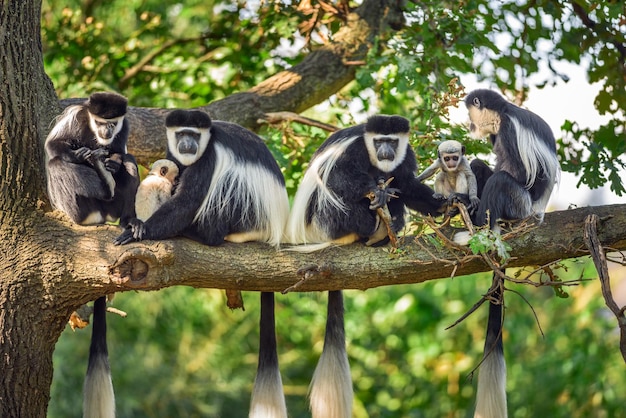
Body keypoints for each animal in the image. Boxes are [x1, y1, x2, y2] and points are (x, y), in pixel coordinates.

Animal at [44, 92, 140, 229]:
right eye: (99, 122)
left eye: (113, 123)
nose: (107, 132)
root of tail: (102, 215)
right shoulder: (76, 116)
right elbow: (52, 143)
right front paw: (77, 155)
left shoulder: (124, 127)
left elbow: (120, 152)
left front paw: (114, 162)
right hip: (83, 208)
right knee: (55, 164)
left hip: (114, 207)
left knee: (129, 159)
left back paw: (127, 221)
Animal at [114, 108, 290, 418]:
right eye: (181, 134)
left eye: (194, 135)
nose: (188, 145)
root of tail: (273, 230)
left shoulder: (209, 158)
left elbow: (187, 200)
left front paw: (140, 229)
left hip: (246, 213)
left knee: (227, 187)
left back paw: (200, 232)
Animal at [286, 114, 446, 418]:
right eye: (379, 141)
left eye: (392, 141)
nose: (385, 152)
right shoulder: (354, 150)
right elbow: (338, 177)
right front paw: (374, 189)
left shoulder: (405, 156)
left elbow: (407, 185)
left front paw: (448, 204)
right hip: (328, 221)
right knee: (338, 194)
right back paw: (373, 219)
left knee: (396, 191)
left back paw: (386, 228)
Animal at [458, 89, 556, 418]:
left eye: (470, 112)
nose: (468, 125)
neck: (503, 115)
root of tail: (536, 212)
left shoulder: (511, 132)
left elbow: (520, 172)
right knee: (480, 167)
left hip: (519, 204)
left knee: (503, 181)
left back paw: (478, 228)